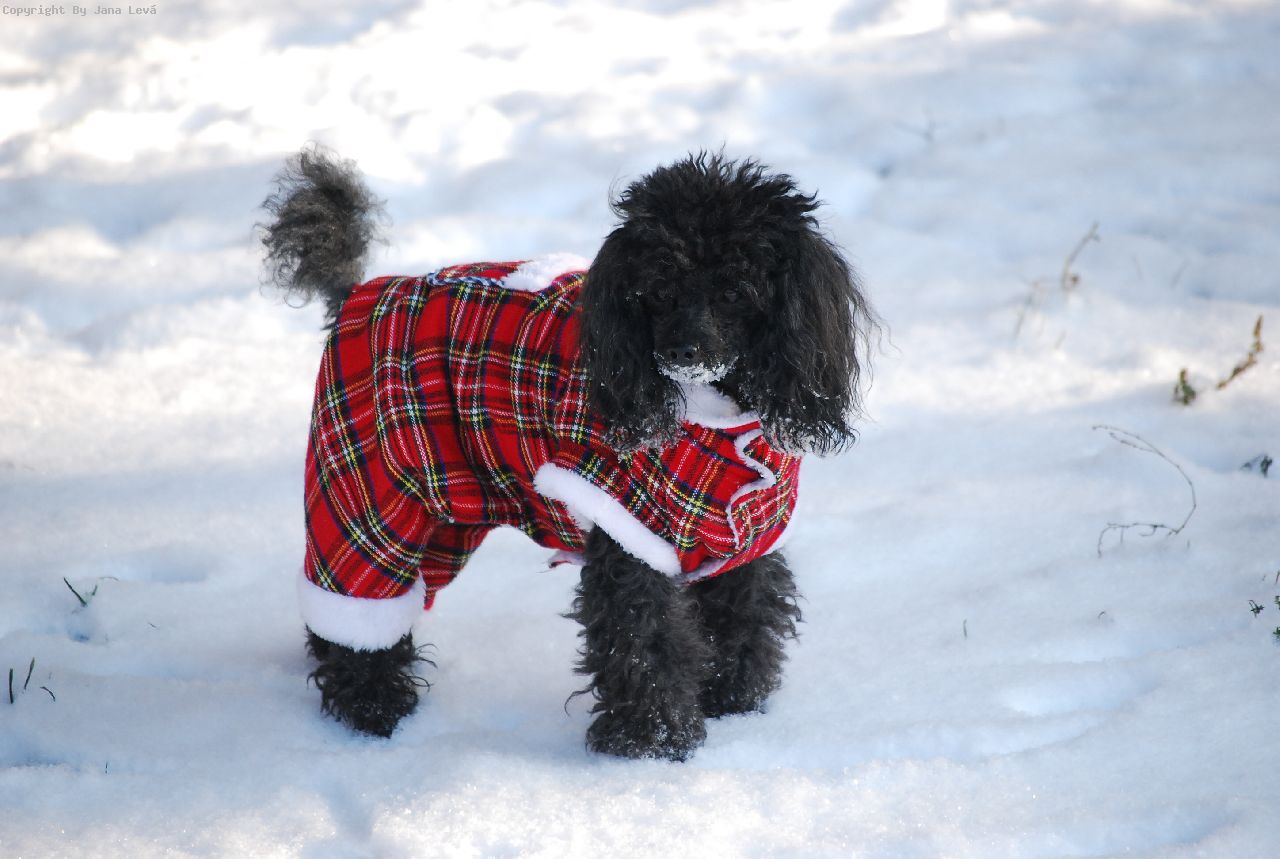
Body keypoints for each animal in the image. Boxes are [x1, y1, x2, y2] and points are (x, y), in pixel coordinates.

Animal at [261, 147, 874, 760]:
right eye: (658, 287)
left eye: (734, 291)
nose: (682, 351)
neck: (714, 421)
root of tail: (356, 296)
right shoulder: (631, 537)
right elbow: (644, 643)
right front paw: (650, 742)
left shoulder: (745, 541)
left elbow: (744, 617)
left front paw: (733, 702)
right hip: (368, 490)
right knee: (356, 607)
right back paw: (372, 709)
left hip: (444, 513)